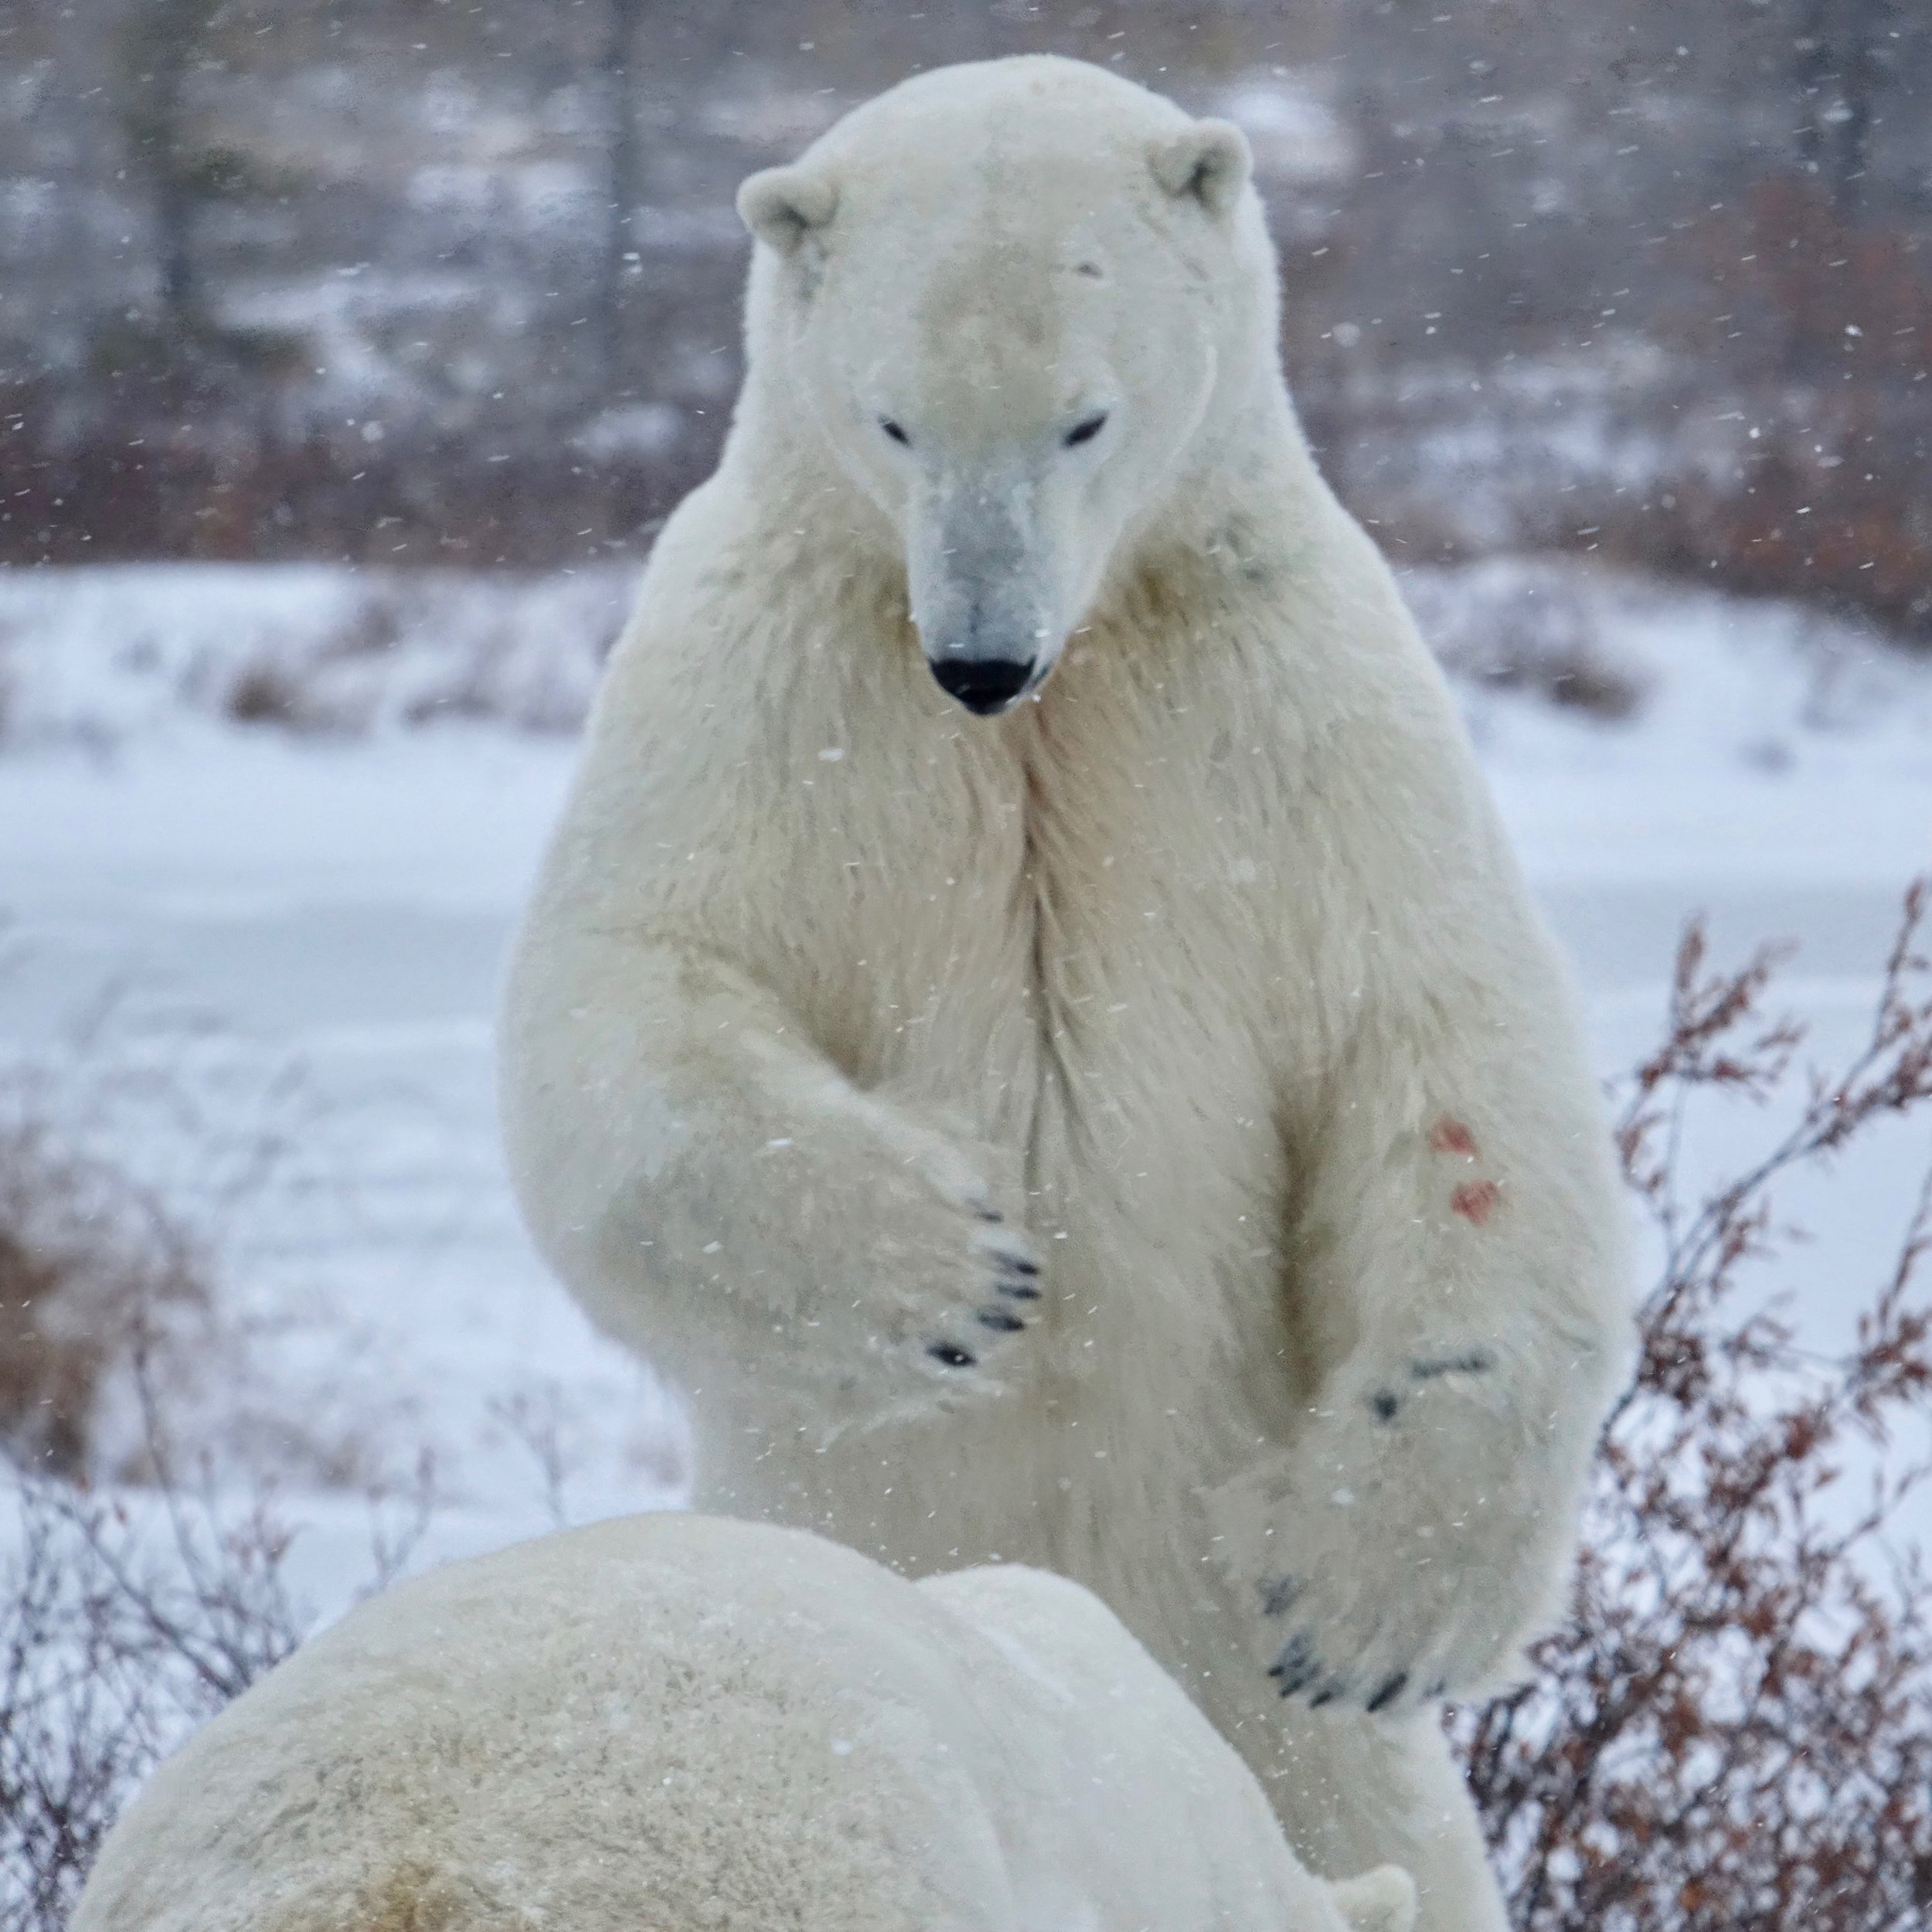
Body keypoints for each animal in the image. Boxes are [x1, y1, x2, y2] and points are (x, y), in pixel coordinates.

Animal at [498, 53, 1631, 1932]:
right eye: (893, 421)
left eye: (1082, 421)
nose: (978, 658)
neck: (1070, 674)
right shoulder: (763, 670)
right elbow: (633, 993)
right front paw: (958, 1272)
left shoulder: (1289, 695)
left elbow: (1437, 1054)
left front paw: (1365, 1600)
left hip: (1301, 1773)